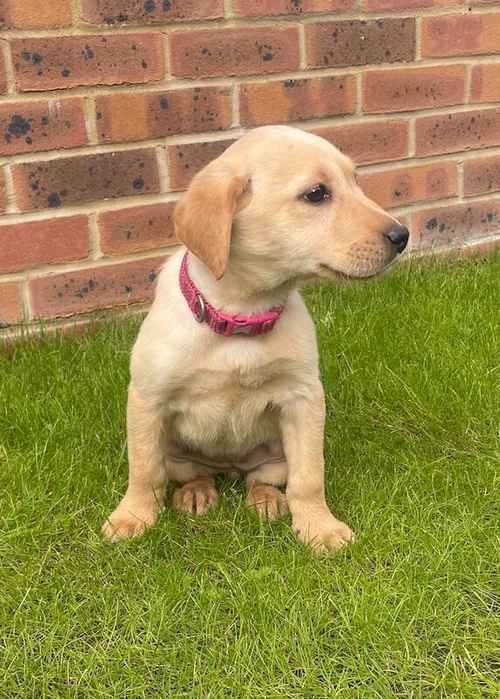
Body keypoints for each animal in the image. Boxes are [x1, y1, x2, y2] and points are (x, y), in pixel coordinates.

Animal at [102, 126, 410, 552]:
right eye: (316, 194)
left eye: (355, 182)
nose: (402, 235)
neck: (243, 315)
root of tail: (229, 467)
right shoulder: (148, 399)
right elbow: (145, 470)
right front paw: (131, 517)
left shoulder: (304, 400)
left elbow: (309, 477)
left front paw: (319, 526)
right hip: (178, 453)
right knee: (190, 472)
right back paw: (195, 493)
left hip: (274, 456)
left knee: (261, 480)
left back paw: (266, 501)